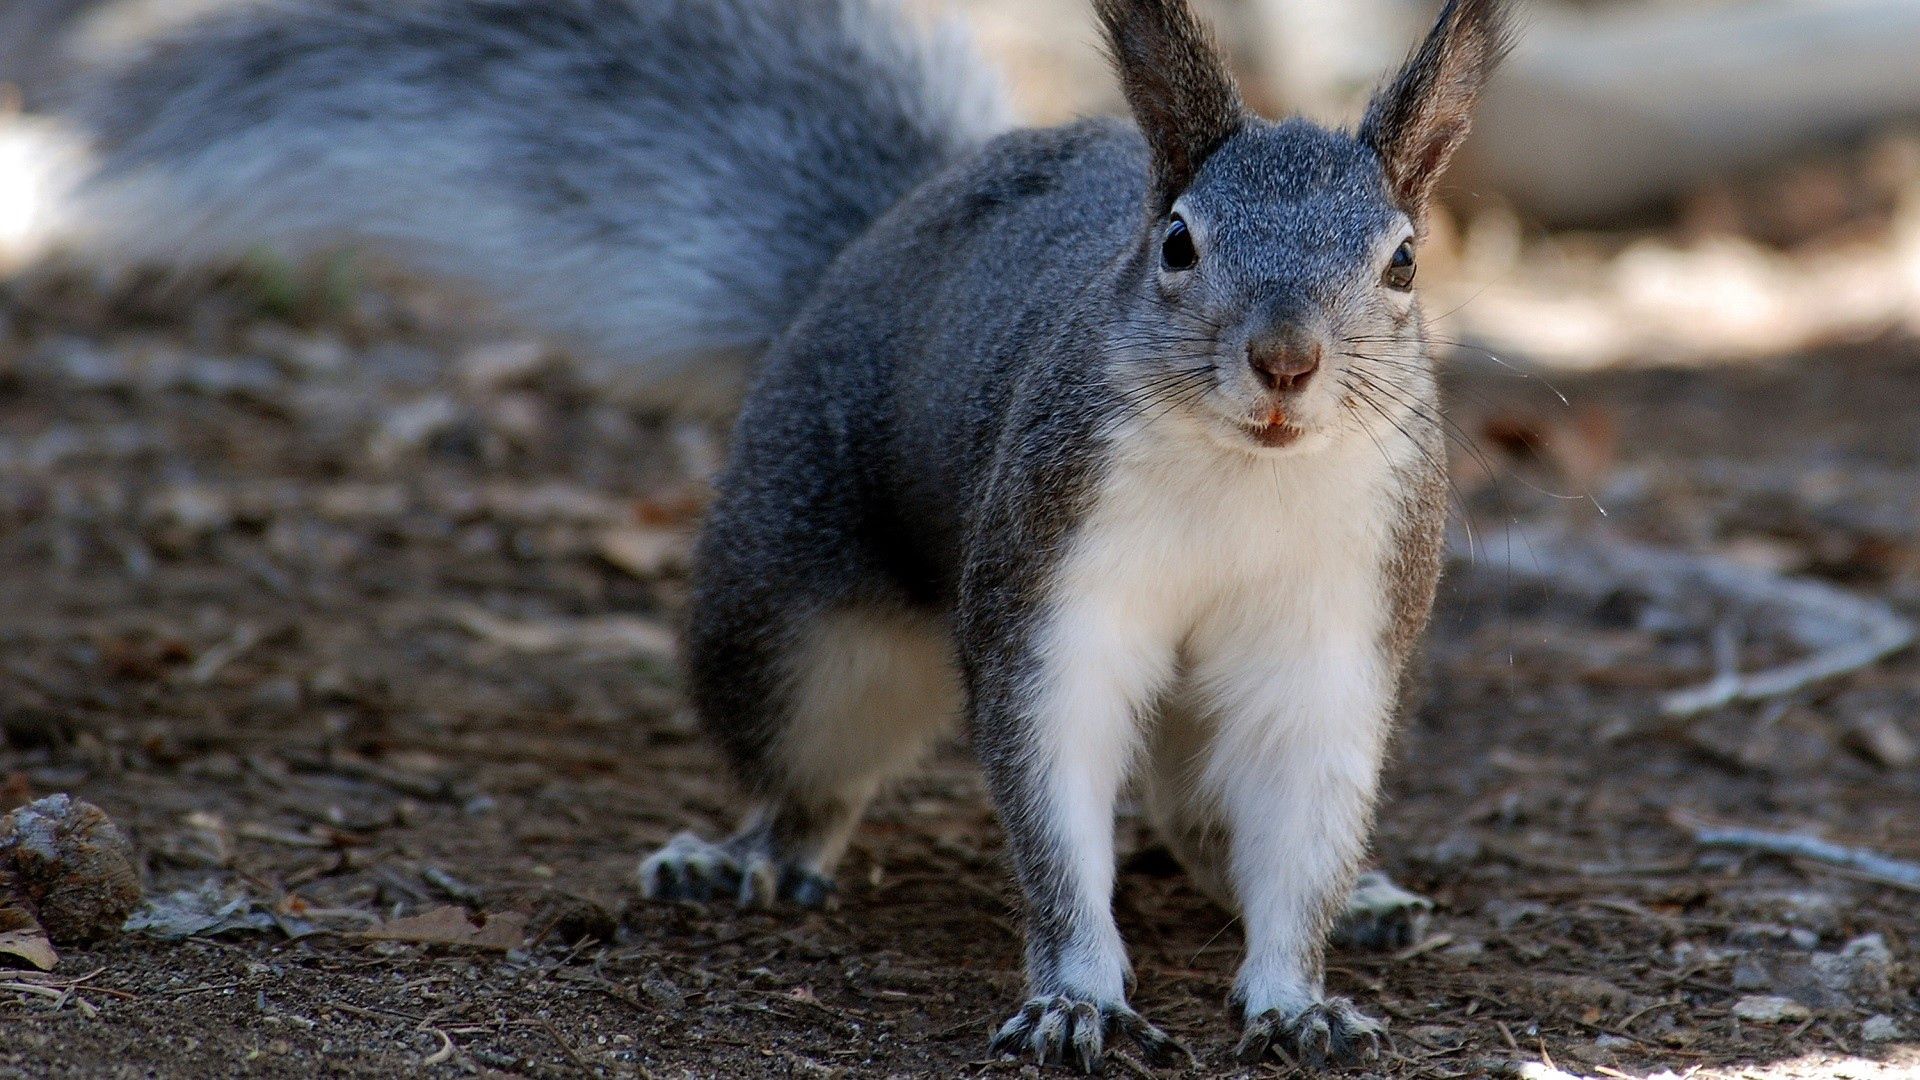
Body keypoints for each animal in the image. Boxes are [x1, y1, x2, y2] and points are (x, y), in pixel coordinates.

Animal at [18, 0, 1512, 1060]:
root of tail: (877, 244)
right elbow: (1053, 796)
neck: (1242, 476)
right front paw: (1078, 994)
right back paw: (747, 858)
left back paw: (1357, 899)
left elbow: (1301, 815)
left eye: (1402, 262)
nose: (1285, 362)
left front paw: (1296, 990)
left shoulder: (1337, 625)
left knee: (1206, 814)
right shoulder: (1051, 593)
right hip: (797, 630)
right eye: (1179, 246)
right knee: (810, 770)